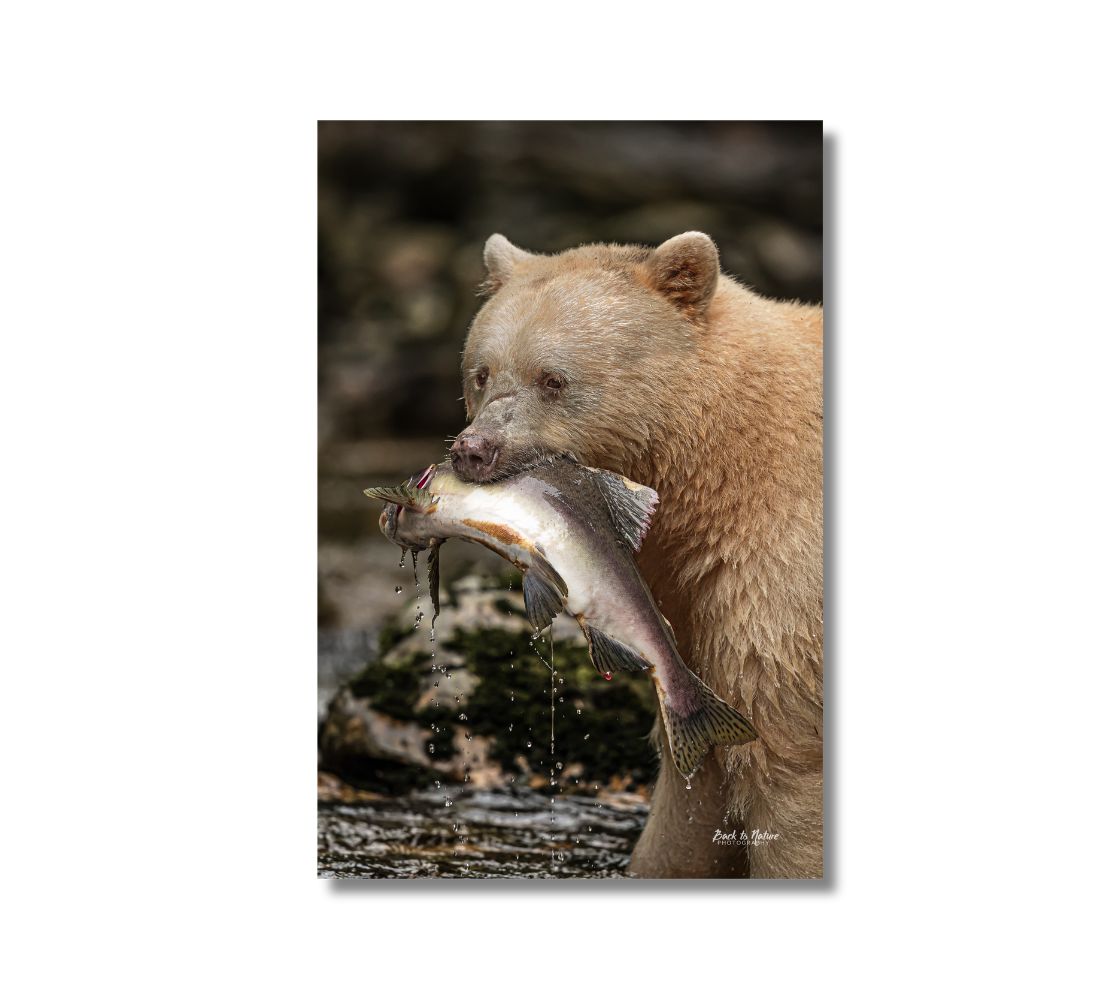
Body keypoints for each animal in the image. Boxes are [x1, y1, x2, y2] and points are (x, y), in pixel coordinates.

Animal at [452, 232, 823, 878]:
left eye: (554, 379)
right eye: (482, 373)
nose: (475, 449)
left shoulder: (779, 577)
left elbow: (783, 758)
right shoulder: (691, 606)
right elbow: (695, 786)